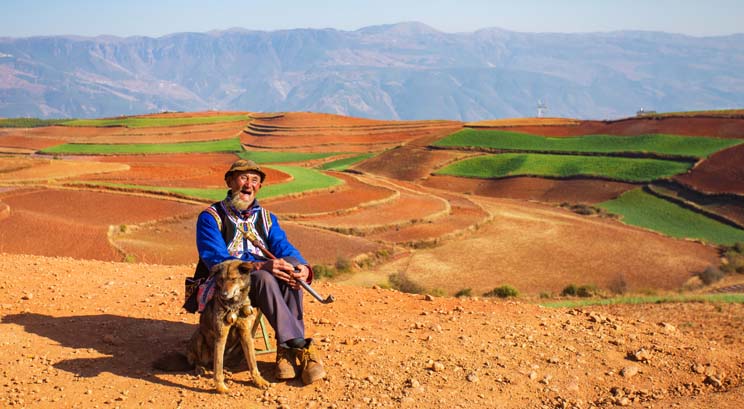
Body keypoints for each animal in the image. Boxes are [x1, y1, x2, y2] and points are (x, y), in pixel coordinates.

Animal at [155, 258, 272, 392]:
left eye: (233, 279)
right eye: (221, 279)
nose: (224, 294)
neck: (234, 306)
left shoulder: (246, 335)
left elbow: (252, 363)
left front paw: (259, 381)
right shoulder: (221, 336)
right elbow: (218, 367)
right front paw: (221, 388)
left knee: (215, 364)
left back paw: (225, 369)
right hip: (199, 336)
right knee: (198, 362)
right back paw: (200, 368)